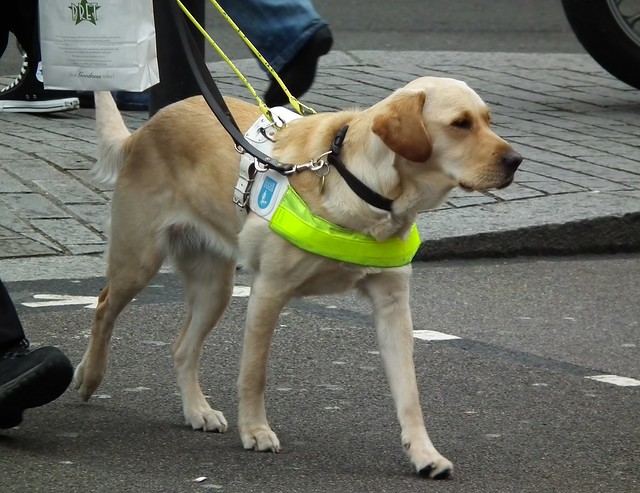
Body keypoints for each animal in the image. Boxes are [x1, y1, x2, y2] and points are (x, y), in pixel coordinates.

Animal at [77, 77, 524, 476]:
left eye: (488, 119)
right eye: (460, 124)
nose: (516, 161)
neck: (361, 187)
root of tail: (147, 128)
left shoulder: (393, 306)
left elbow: (409, 392)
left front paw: (424, 454)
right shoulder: (268, 292)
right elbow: (254, 373)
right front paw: (256, 431)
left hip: (215, 286)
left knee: (182, 348)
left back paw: (197, 410)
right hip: (139, 261)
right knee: (103, 307)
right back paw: (89, 375)